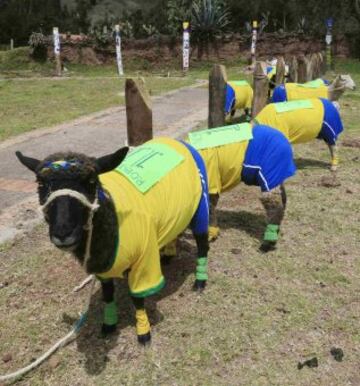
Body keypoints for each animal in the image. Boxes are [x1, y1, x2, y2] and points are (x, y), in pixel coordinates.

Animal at [15, 136, 211, 344]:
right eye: (40, 185)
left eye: (91, 181)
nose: (62, 233)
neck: (113, 217)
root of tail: (177, 141)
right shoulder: (103, 266)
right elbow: (108, 296)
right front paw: (109, 325)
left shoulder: (143, 261)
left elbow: (137, 299)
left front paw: (143, 332)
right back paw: (167, 256)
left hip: (200, 203)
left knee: (203, 246)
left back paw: (199, 282)